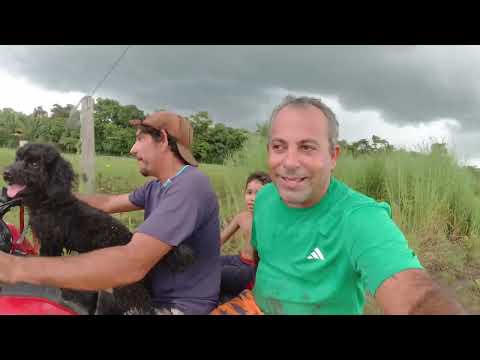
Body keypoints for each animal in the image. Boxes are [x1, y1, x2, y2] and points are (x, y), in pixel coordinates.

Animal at [2, 143, 193, 316]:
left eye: (34, 163)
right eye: (17, 158)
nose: (6, 173)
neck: (50, 202)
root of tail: (131, 237)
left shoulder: (51, 243)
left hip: (125, 282)